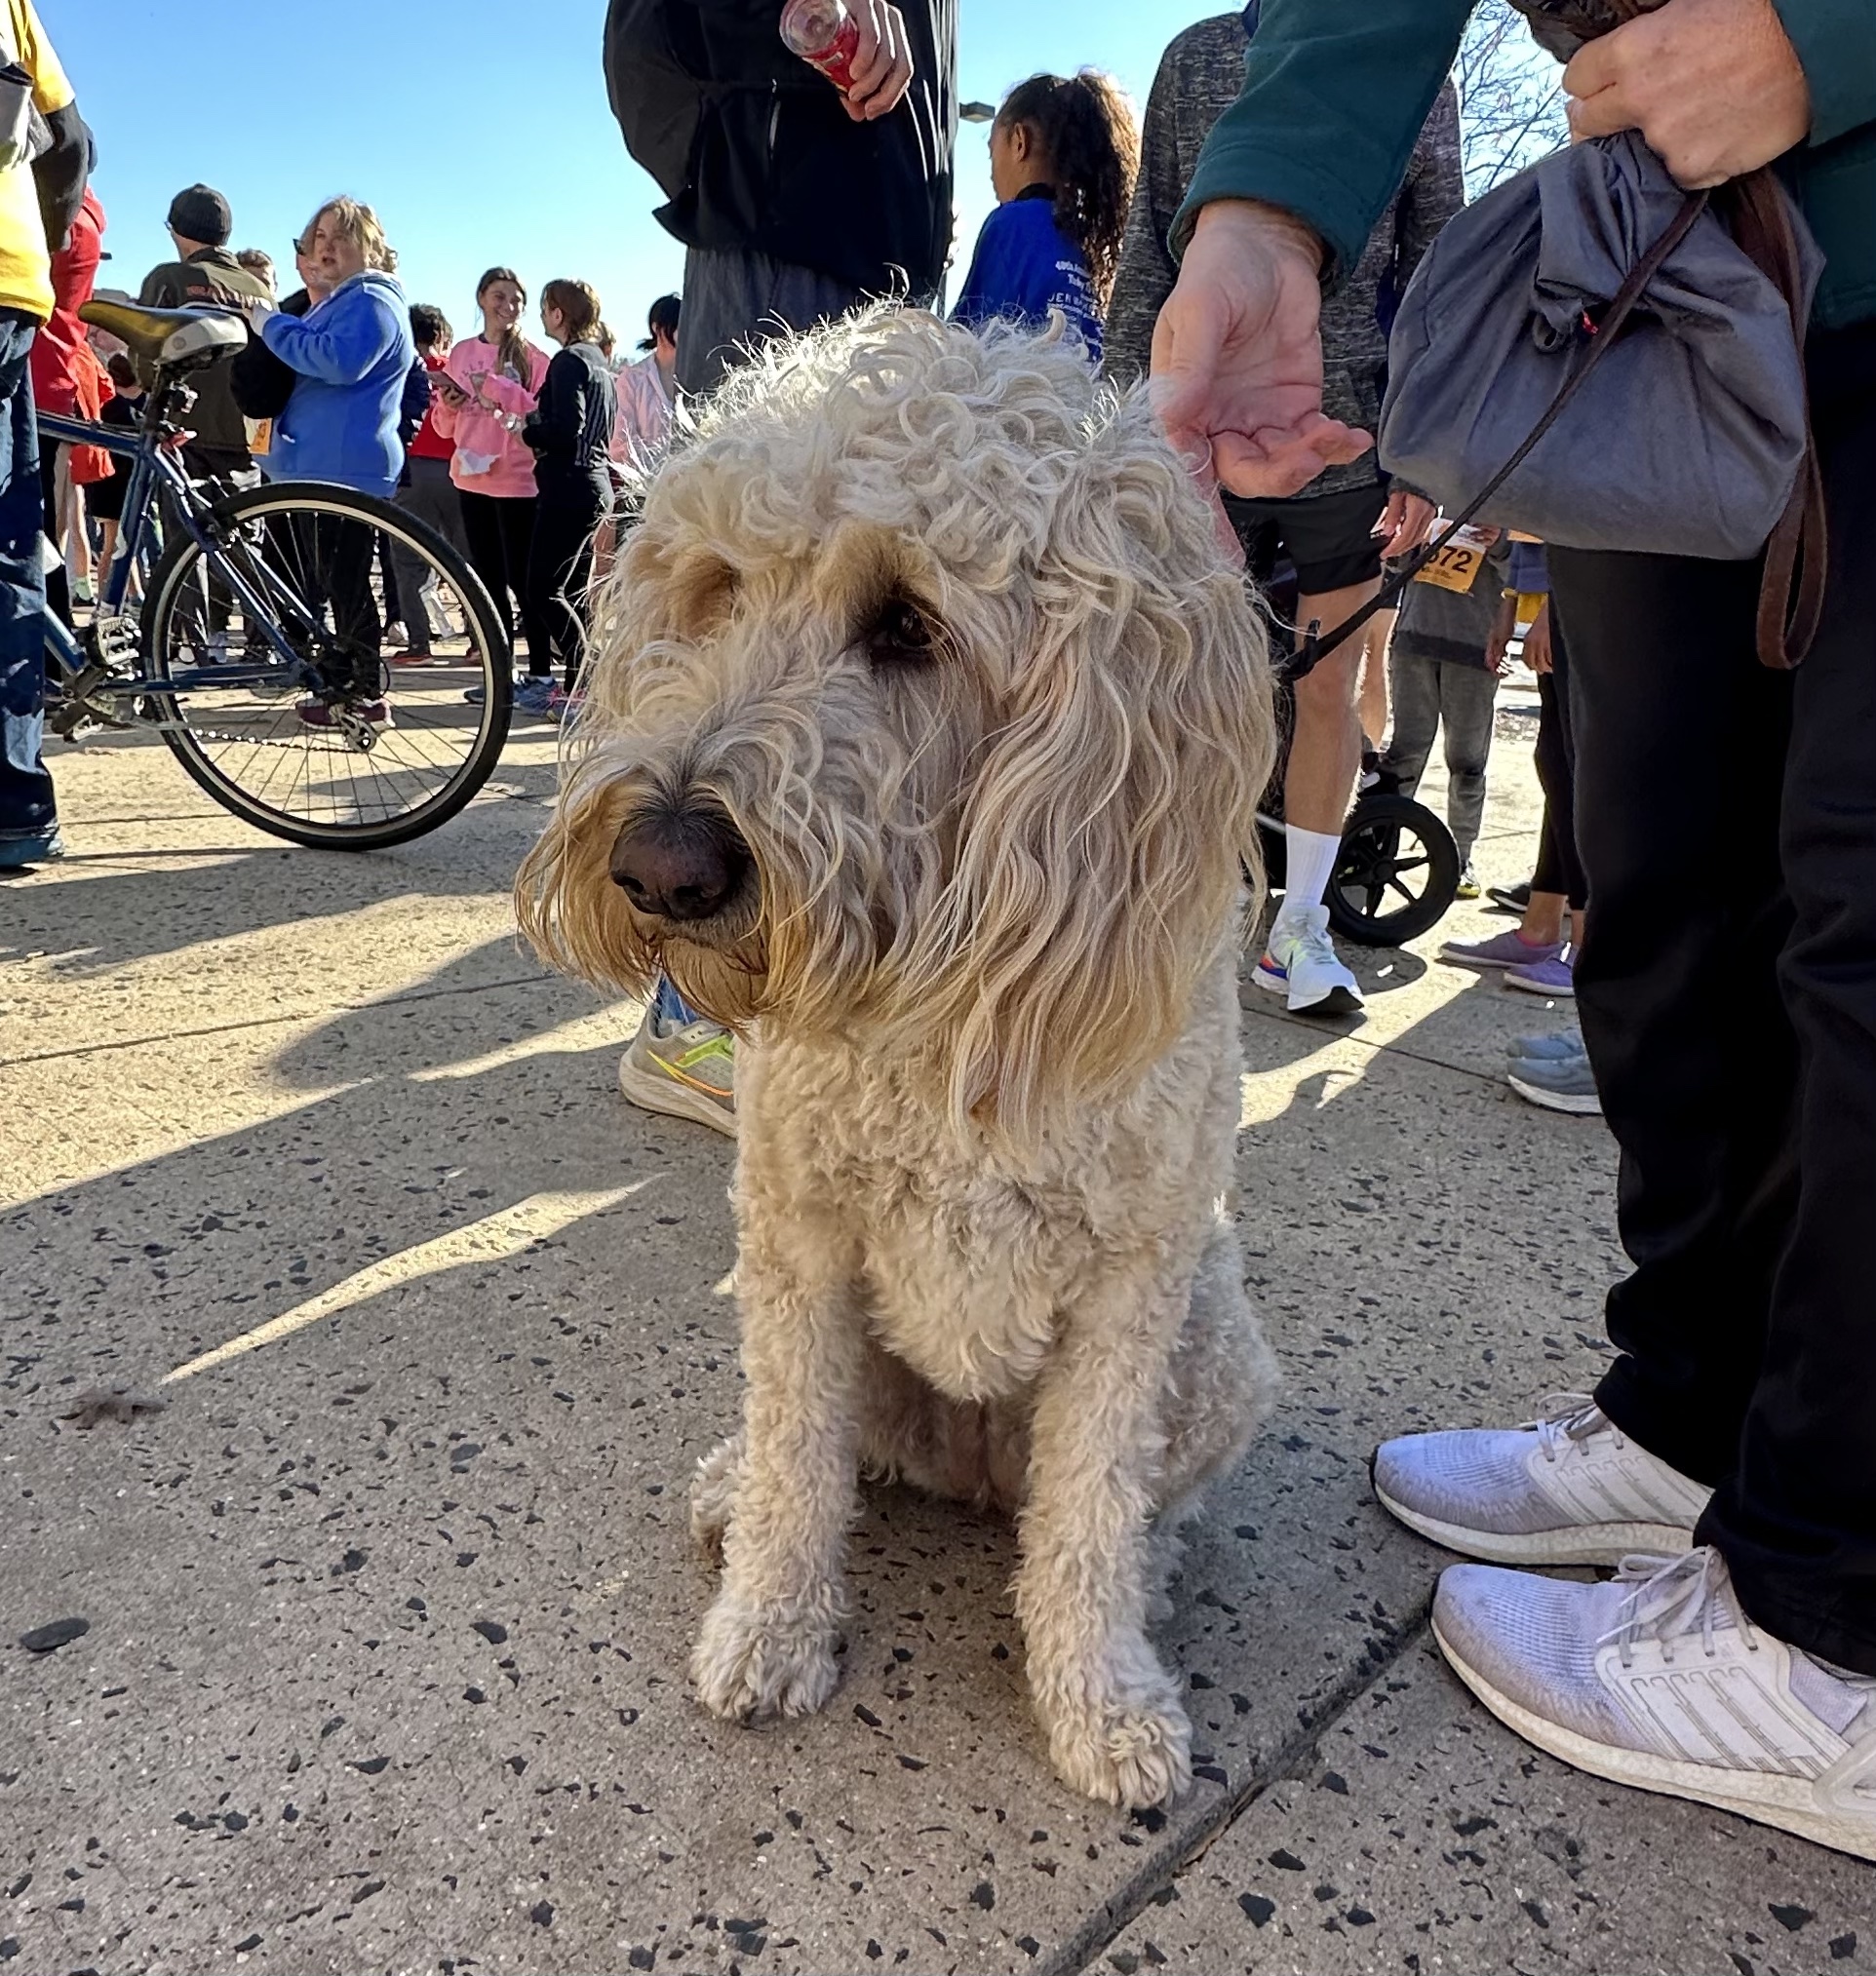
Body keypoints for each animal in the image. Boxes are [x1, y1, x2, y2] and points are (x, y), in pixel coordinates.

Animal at [518, 308, 1272, 1809]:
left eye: (908, 625)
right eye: (715, 588)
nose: (660, 865)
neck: (942, 998)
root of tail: (976, 1467)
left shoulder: (1132, 1287)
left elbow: (1090, 1510)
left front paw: (1097, 1696)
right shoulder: (799, 1239)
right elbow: (800, 1463)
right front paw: (768, 1623)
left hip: (1220, 1346)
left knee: (1115, 1505)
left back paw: (1145, 1574)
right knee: (802, 1447)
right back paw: (731, 1489)